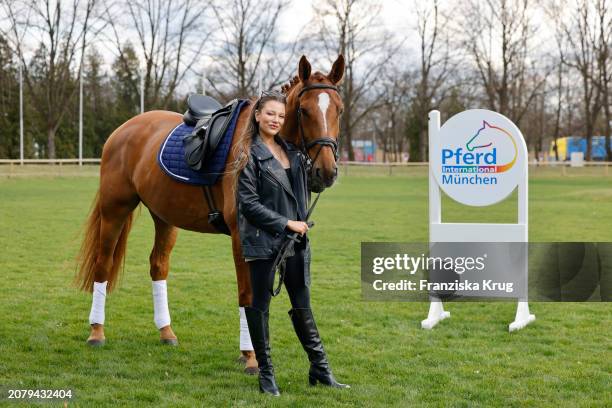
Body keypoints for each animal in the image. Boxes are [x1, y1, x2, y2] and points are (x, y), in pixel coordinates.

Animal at [74, 54, 344, 372]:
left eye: (339, 110)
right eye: (304, 110)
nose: (325, 172)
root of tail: (123, 129)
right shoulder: (242, 237)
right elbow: (248, 295)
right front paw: (250, 356)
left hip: (165, 217)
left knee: (158, 265)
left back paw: (166, 331)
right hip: (114, 208)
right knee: (103, 264)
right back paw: (96, 331)